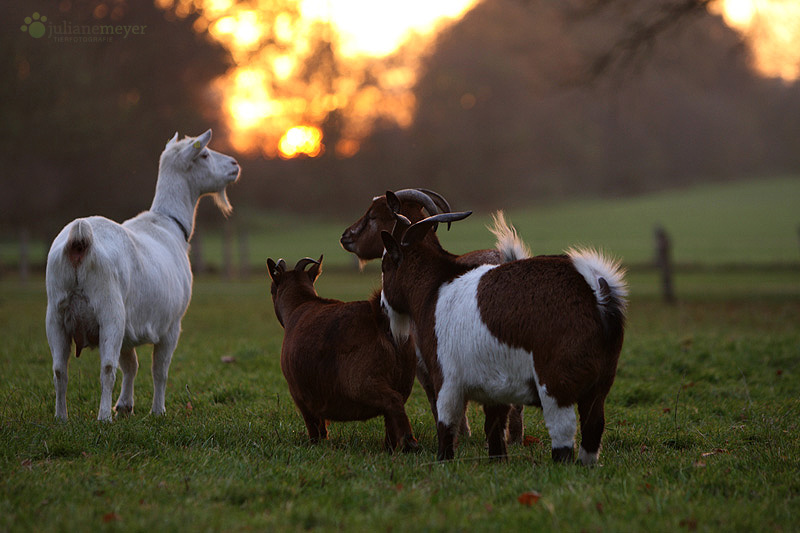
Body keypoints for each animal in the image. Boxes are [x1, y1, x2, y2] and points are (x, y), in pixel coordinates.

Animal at [46, 129, 241, 420]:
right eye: (205, 154)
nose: (234, 165)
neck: (167, 224)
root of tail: (80, 241)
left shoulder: (130, 327)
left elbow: (131, 365)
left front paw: (125, 406)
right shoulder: (171, 325)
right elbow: (159, 371)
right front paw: (157, 410)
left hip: (56, 314)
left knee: (60, 370)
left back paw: (61, 417)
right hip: (109, 311)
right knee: (107, 369)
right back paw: (103, 417)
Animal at [268, 256, 418, 450]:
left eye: (272, 289)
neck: (300, 304)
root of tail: (380, 319)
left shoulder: (300, 395)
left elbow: (314, 425)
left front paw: (315, 444)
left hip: (362, 383)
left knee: (393, 401)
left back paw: (409, 442)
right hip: (403, 380)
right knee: (392, 415)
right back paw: (390, 447)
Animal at [340, 189, 528, 442]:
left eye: (372, 215)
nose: (346, 236)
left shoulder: (425, 359)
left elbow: (437, 397)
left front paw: (460, 434)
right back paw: (516, 438)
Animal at [378, 193, 628, 464]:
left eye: (384, 266)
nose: (382, 304)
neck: (436, 289)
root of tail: (596, 293)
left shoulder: (447, 378)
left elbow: (446, 427)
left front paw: (443, 462)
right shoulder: (496, 386)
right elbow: (495, 429)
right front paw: (497, 462)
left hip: (555, 383)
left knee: (563, 435)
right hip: (601, 384)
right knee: (593, 428)